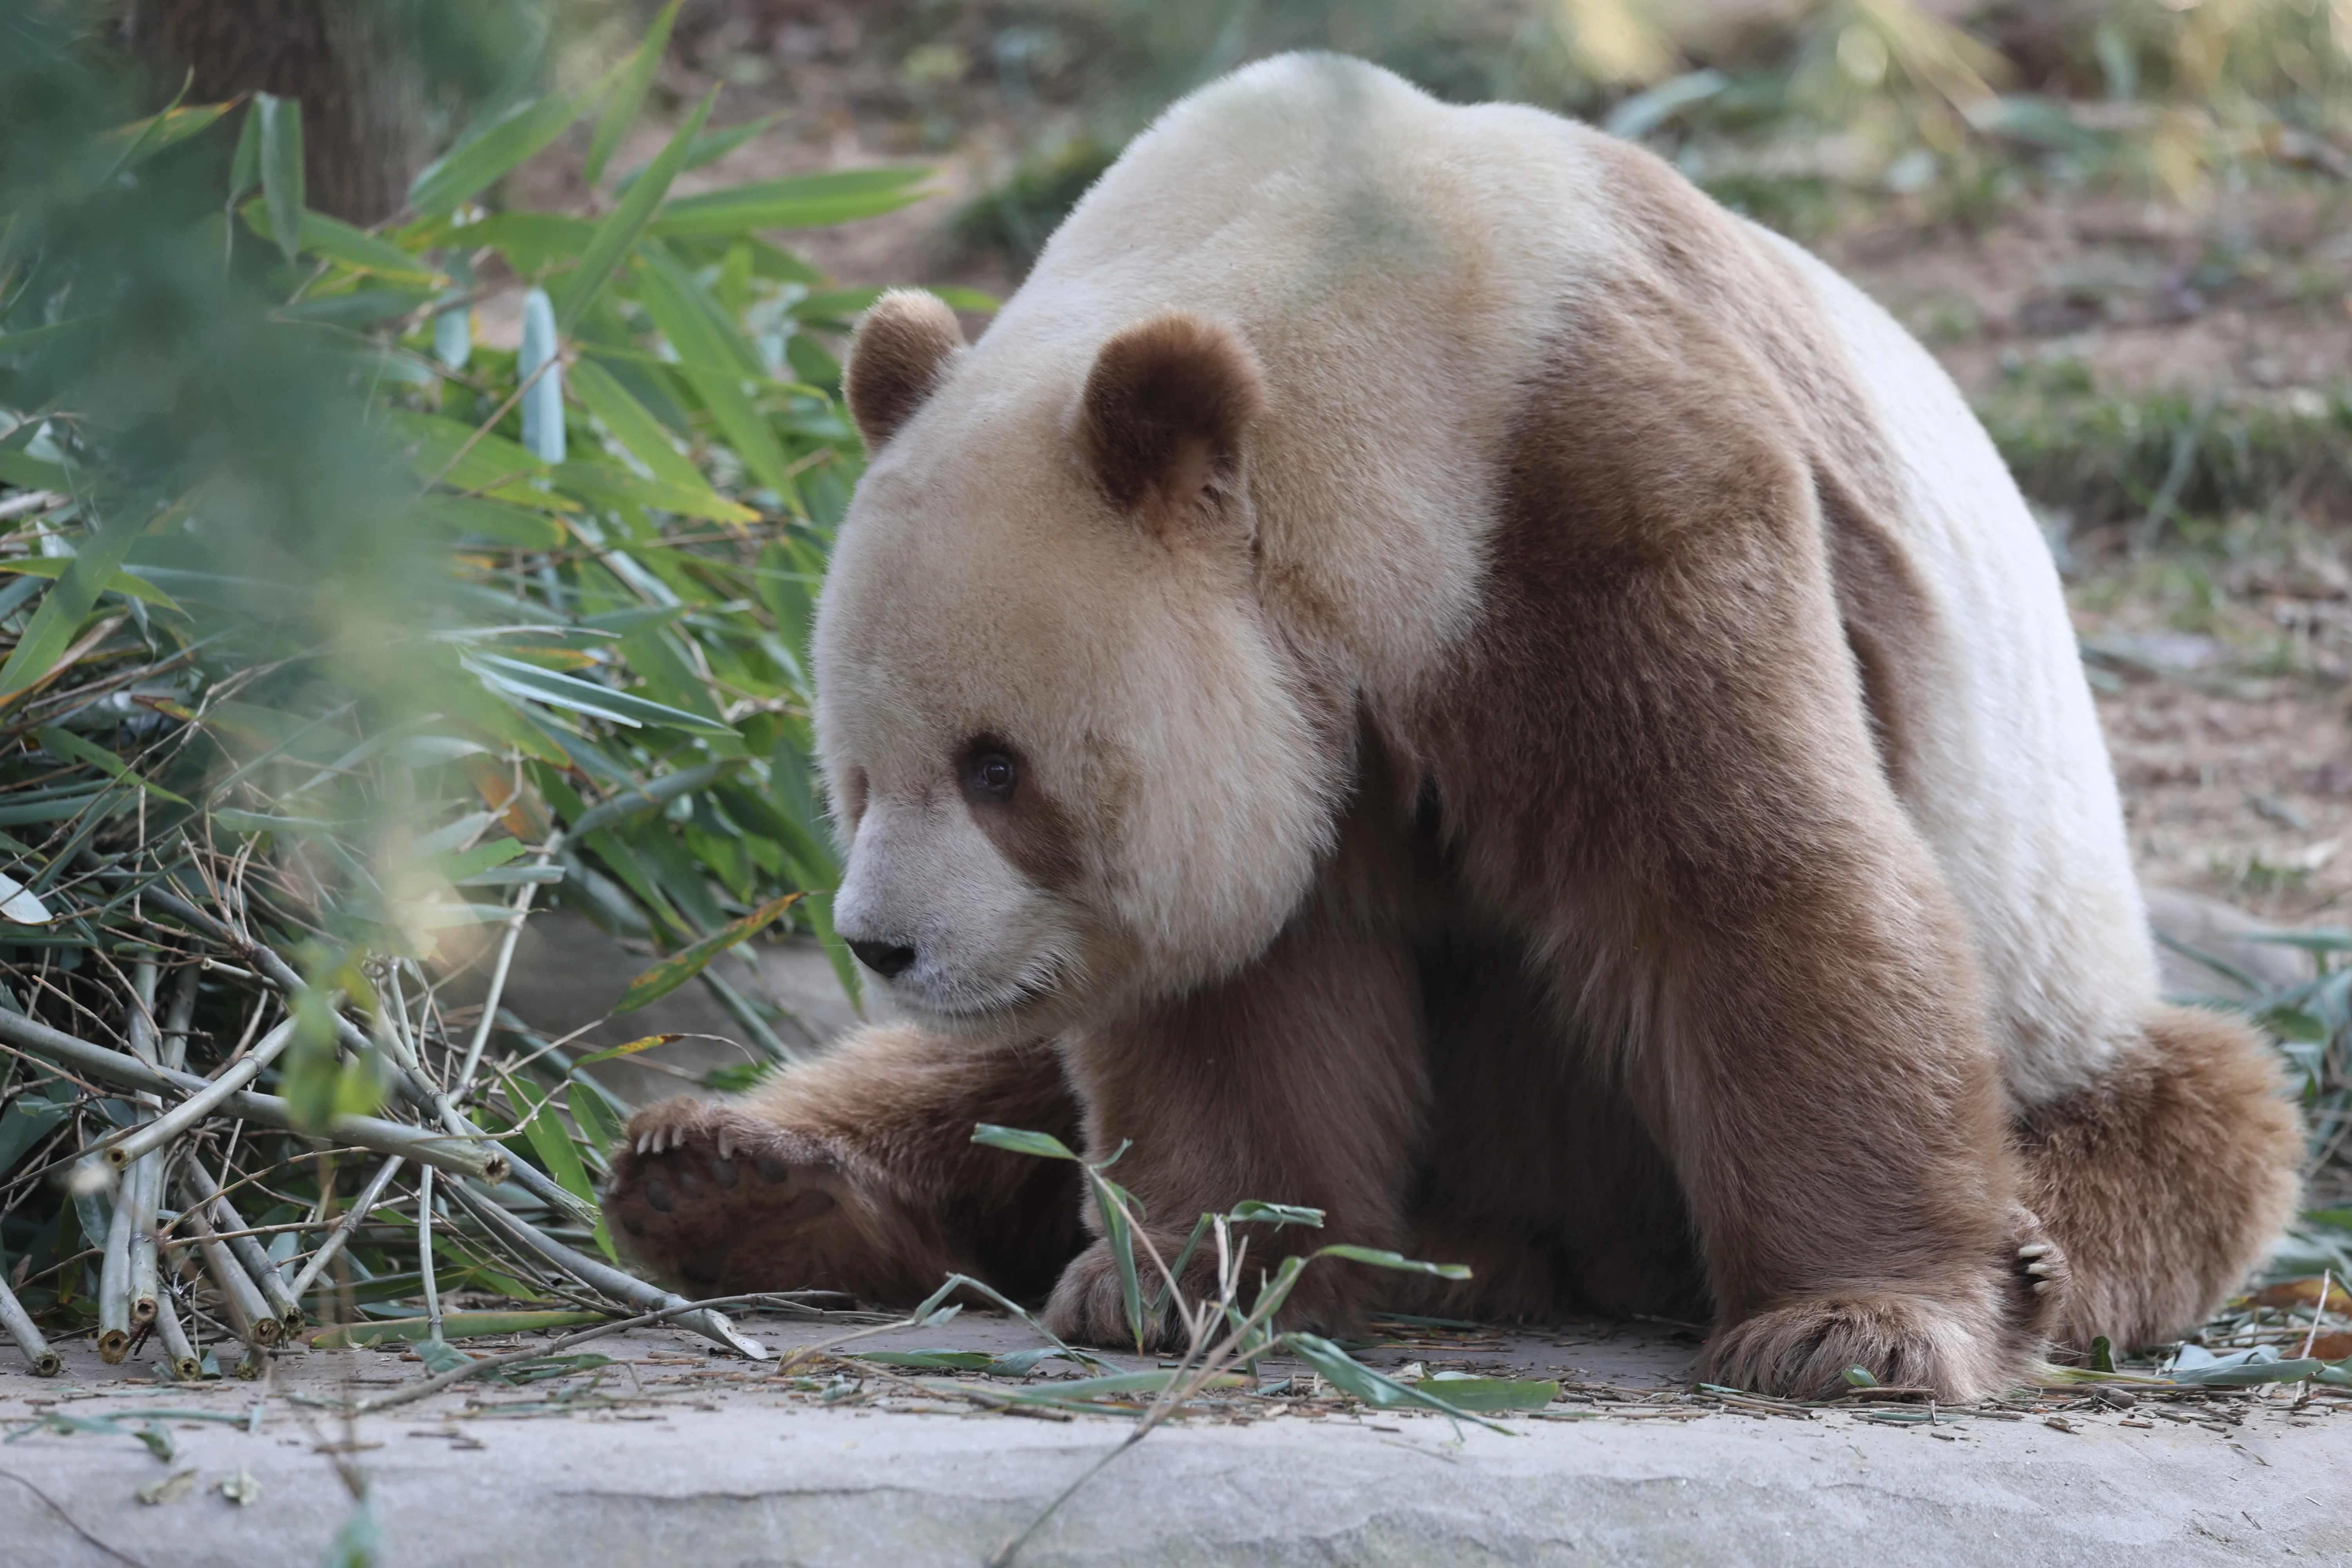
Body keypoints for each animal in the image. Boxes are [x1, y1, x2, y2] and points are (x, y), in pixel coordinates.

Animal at [606, 53, 2302, 1400]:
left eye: (995, 768)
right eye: (856, 776)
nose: (885, 944)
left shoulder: (1601, 489)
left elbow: (1758, 886)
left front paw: (1860, 1329)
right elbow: (1234, 981)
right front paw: (1196, 1278)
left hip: (2066, 975)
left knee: (2191, 1123)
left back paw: (2028, 1250)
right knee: (991, 1091)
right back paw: (728, 1179)